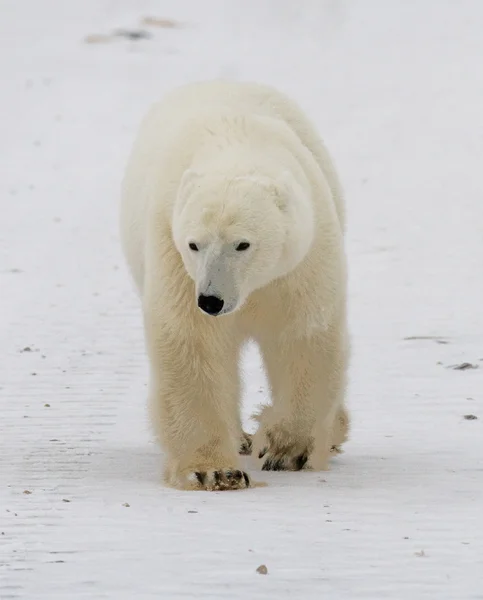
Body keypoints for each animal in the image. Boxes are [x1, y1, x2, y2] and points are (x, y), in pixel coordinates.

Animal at [119, 81, 350, 492]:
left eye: (243, 244)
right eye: (194, 244)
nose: (211, 300)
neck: (235, 144)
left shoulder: (301, 257)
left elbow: (304, 335)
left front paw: (283, 448)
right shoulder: (173, 251)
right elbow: (192, 343)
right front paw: (215, 471)